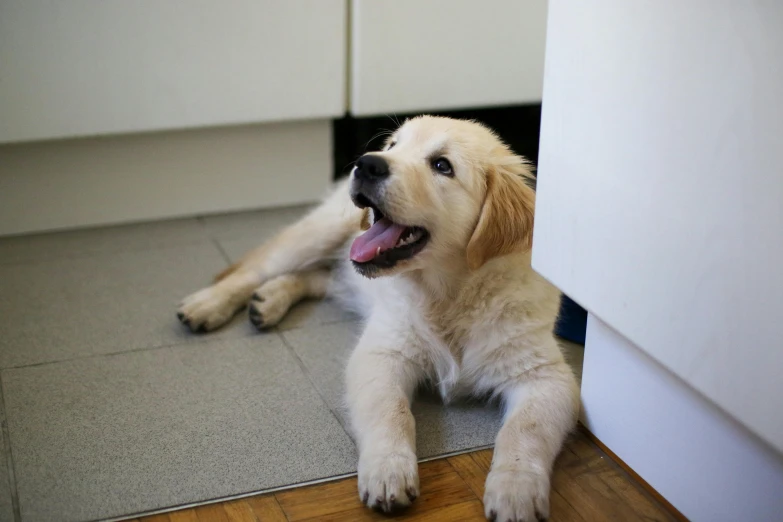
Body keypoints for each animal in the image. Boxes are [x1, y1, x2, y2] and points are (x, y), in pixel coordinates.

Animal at [179, 115, 580, 520]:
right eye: (393, 146)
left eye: (442, 166)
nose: (366, 163)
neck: (449, 295)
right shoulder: (383, 353)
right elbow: (392, 412)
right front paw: (389, 471)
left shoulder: (544, 375)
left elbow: (525, 430)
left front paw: (517, 490)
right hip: (322, 231)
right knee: (258, 270)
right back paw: (207, 305)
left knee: (319, 275)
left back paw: (269, 300)